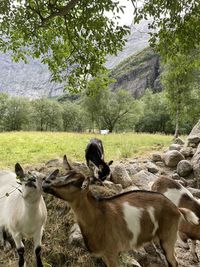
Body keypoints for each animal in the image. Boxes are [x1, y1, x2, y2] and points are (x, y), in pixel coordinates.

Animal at [42, 156, 198, 267]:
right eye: (63, 174)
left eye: (72, 183)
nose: (45, 184)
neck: (99, 216)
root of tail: (176, 208)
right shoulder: (105, 255)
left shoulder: (111, 252)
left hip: (168, 236)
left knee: (173, 261)